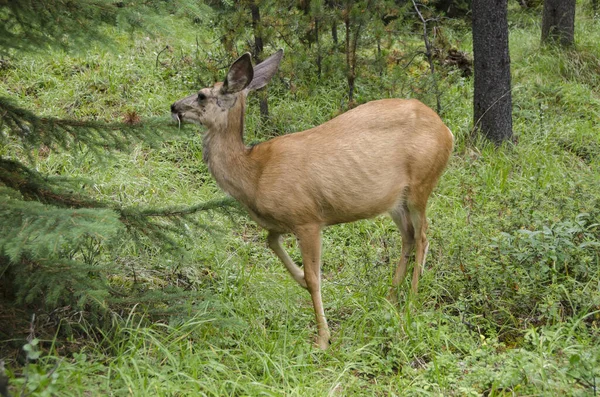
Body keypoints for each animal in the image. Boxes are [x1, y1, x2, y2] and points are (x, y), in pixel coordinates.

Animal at [171, 50, 452, 350]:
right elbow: (272, 243)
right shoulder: (282, 221)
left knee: (423, 235)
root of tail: (447, 131)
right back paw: (390, 298)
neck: (255, 174)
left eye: (202, 95)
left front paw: (322, 338)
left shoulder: (308, 219)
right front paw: (298, 279)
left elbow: (315, 279)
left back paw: (411, 299)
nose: (174, 106)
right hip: (395, 201)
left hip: (421, 183)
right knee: (408, 236)